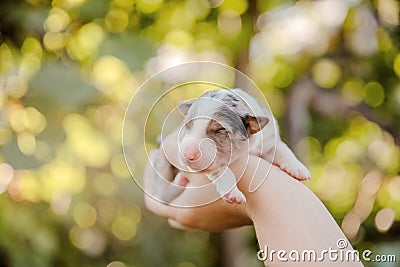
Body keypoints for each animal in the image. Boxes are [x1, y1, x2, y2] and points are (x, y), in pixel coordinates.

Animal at [149, 89, 310, 204]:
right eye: (188, 124)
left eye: (220, 129)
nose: (186, 154)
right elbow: (222, 171)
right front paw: (234, 194)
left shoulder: (268, 139)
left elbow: (282, 149)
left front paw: (298, 168)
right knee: (162, 191)